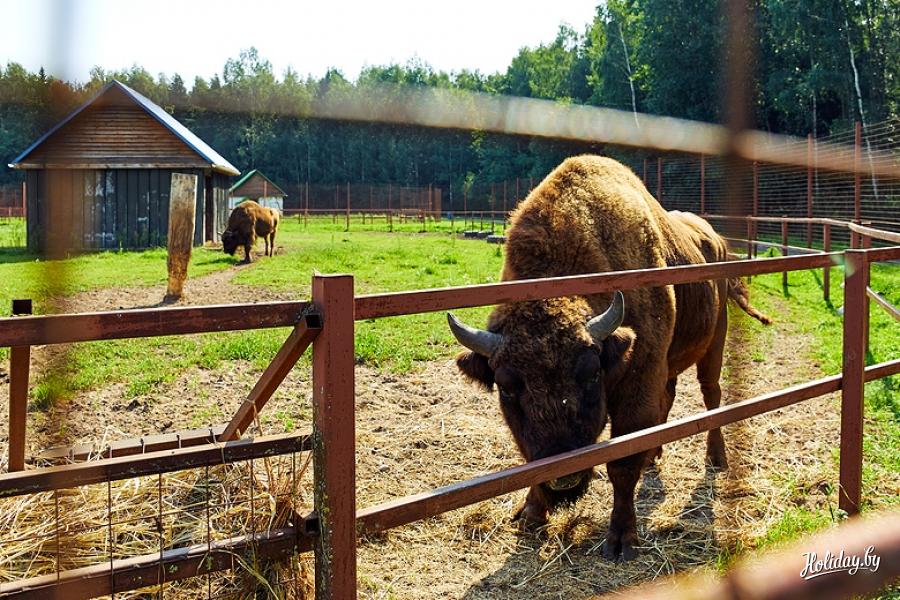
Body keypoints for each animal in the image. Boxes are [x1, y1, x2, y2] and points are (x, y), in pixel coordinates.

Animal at [446, 157, 768, 560]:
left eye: (590, 373)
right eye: (505, 387)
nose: (563, 476)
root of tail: (717, 240)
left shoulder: (637, 383)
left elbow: (622, 463)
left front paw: (621, 539)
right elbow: (528, 460)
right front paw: (532, 514)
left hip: (714, 343)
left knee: (711, 396)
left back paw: (716, 458)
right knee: (669, 397)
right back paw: (655, 454)